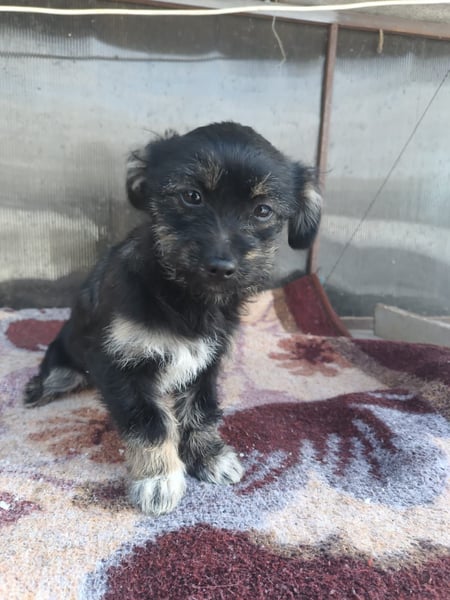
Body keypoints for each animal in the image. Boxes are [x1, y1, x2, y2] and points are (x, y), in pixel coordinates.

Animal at [24, 122, 321, 515]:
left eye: (262, 210)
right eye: (191, 196)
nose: (221, 266)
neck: (184, 296)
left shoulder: (206, 360)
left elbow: (200, 410)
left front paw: (208, 456)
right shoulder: (120, 364)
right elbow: (150, 422)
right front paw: (158, 477)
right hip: (65, 360)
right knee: (55, 375)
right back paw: (38, 389)